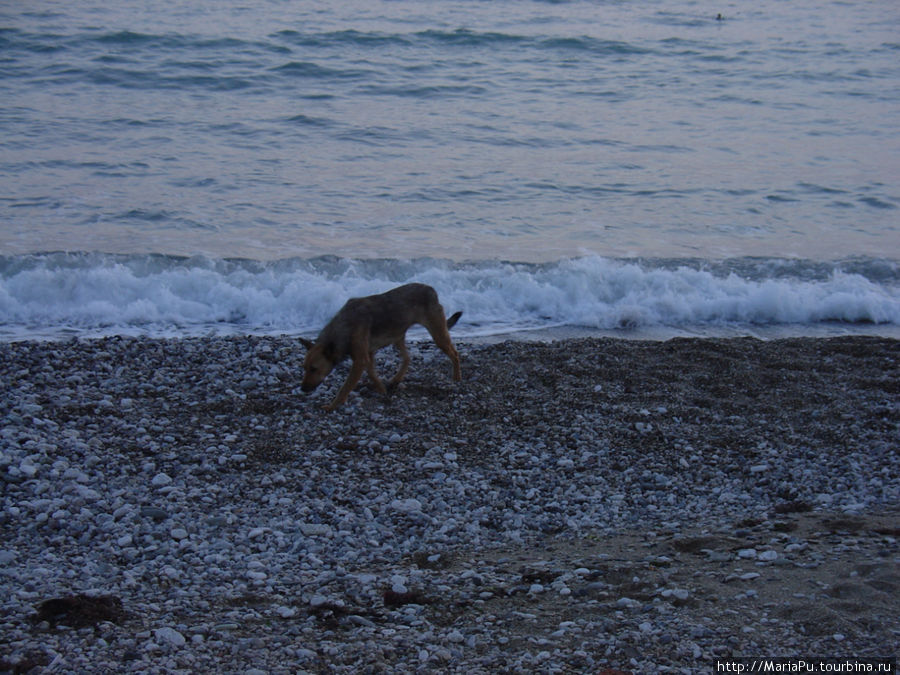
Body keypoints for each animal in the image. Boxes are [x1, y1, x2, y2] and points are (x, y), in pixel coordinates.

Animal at [302, 282, 460, 410]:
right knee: (407, 358)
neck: (343, 327)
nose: (303, 389)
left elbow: (345, 387)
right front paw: (381, 389)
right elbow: (372, 374)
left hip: (438, 335)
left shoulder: (360, 360)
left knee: (455, 354)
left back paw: (457, 377)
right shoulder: (368, 354)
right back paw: (396, 379)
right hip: (397, 336)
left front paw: (332, 405)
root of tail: (431, 290)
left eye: (313, 369)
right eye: (305, 368)